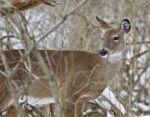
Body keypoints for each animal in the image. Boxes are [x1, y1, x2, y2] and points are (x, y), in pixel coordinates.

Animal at [0, 16, 131, 117]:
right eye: (102, 37)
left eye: (116, 37)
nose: (103, 51)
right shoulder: (68, 93)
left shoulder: (82, 99)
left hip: (15, 101)